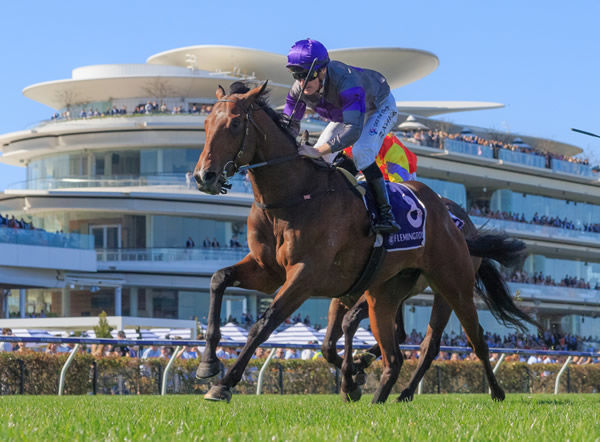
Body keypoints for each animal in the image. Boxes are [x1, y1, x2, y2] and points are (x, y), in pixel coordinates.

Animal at [196, 83, 510, 404]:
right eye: (206, 124)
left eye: (235, 124)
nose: (204, 176)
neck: (295, 195)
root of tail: (452, 218)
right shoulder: (267, 270)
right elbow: (219, 279)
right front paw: (208, 363)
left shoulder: (305, 275)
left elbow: (265, 323)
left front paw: (225, 383)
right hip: (395, 290)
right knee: (401, 342)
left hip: (451, 285)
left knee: (462, 340)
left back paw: (494, 391)